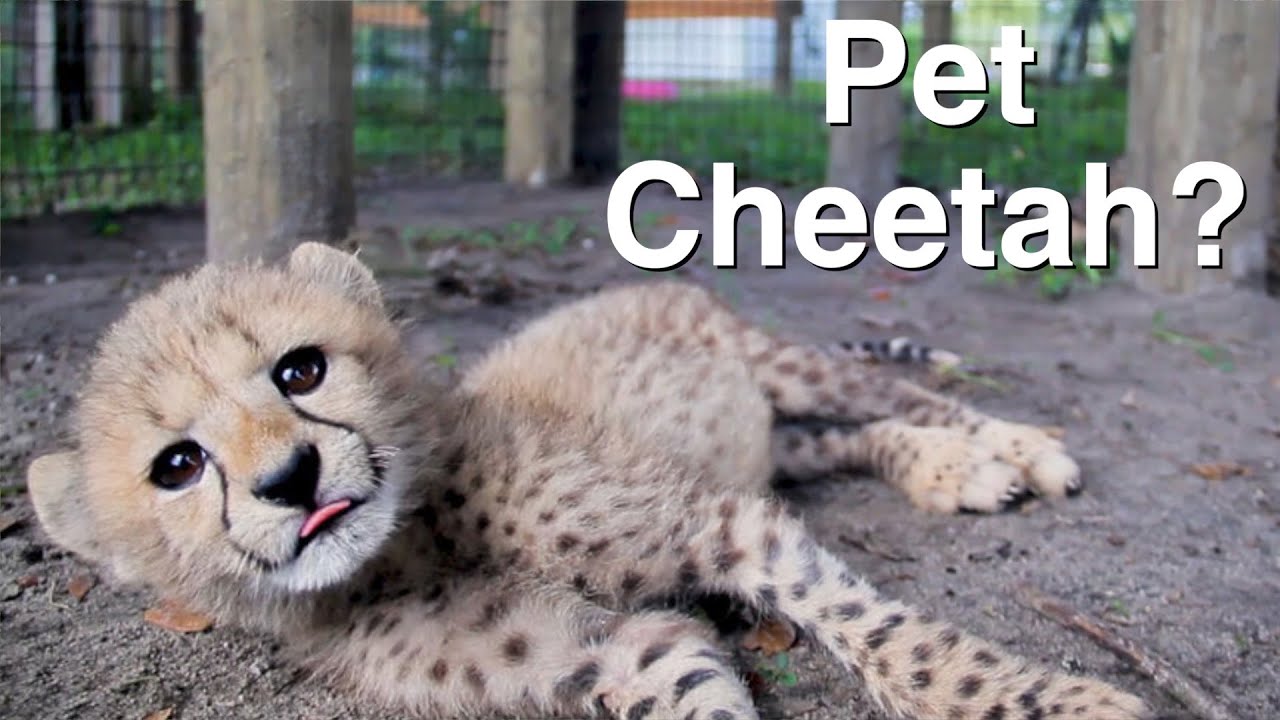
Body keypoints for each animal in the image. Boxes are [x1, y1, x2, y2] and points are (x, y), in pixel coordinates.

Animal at [26, 241, 1149, 720]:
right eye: (177, 466)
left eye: (301, 370)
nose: (291, 477)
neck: (407, 548)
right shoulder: (620, 647)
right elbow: (686, 679)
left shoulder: (722, 526)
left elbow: (890, 637)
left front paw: (1054, 704)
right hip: (759, 437)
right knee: (850, 440)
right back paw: (949, 470)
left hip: (778, 365)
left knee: (896, 390)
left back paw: (1014, 447)